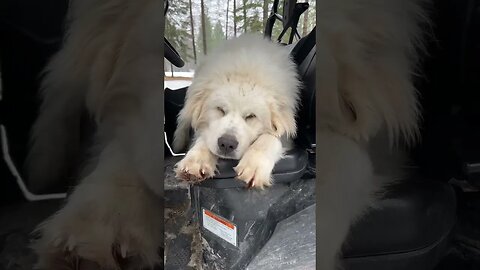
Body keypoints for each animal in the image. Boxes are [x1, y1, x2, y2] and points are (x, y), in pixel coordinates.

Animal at [172, 34, 300, 189]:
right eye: (220, 109)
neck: (245, 71)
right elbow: (205, 137)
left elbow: (269, 138)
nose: (227, 144)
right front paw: (196, 160)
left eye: (251, 116)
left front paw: (254, 165)